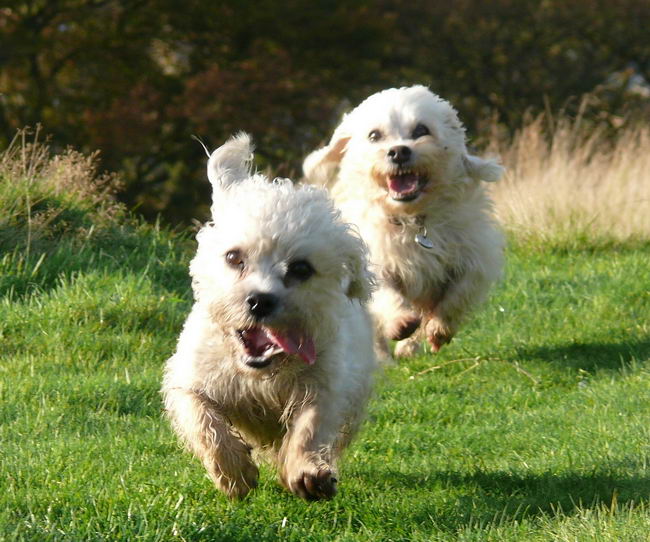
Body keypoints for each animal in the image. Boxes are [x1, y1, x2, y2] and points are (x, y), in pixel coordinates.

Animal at [161, 134, 374, 504]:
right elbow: (204, 421)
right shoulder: (190, 380)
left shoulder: (326, 383)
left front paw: (308, 474)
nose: (260, 301)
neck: (260, 374)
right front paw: (234, 473)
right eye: (234, 257)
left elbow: (310, 425)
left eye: (301, 268)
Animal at [302, 86, 504, 362]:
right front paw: (400, 322)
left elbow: (458, 294)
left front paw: (439, 329)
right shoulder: (376, 259)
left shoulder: (473, 257)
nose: (399, 151)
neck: (414, 221)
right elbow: (386, 292)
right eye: (374, 135)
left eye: (421, 130)